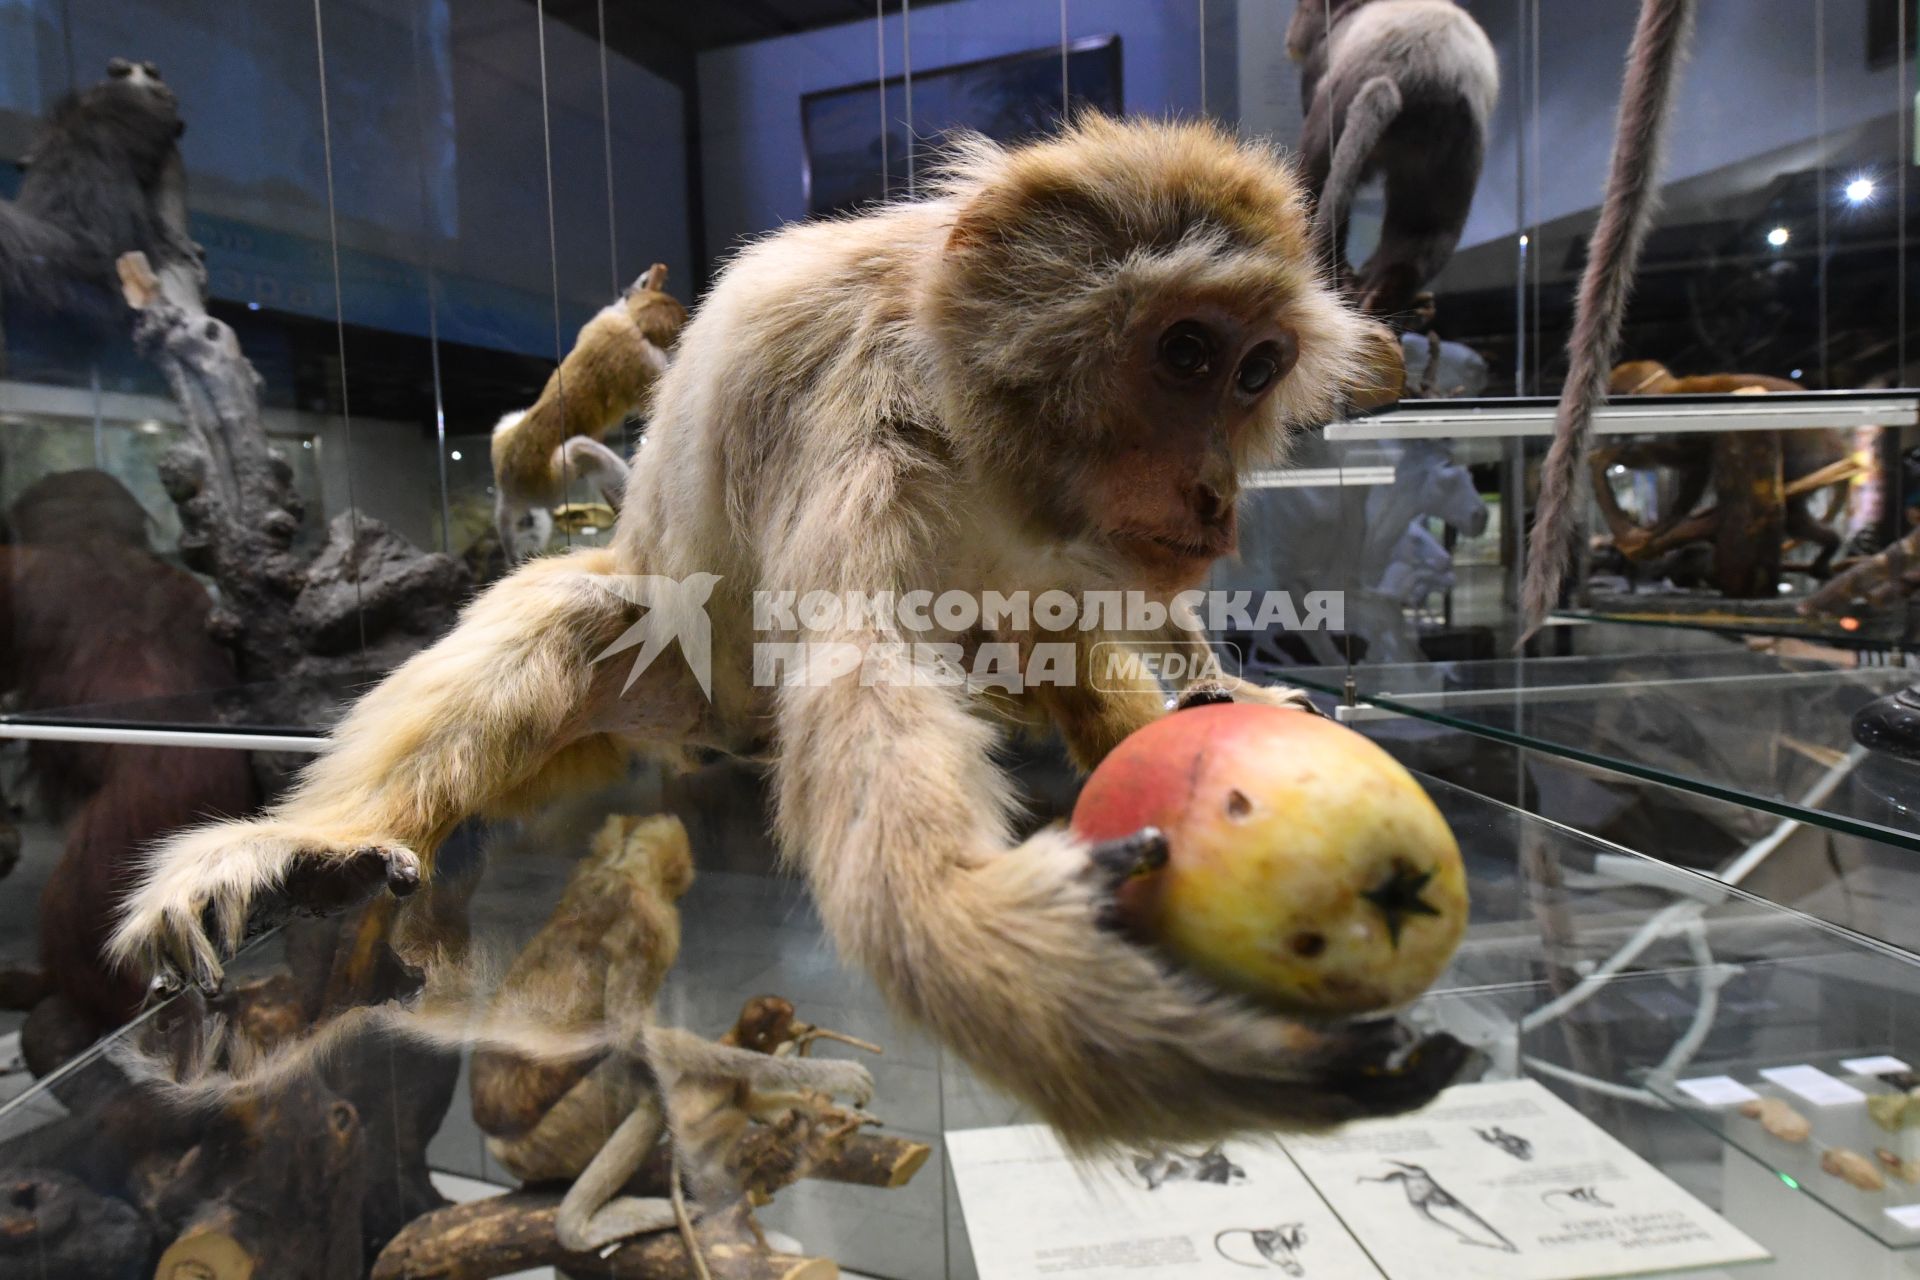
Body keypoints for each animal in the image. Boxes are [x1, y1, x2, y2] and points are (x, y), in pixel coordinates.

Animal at [491, 264, 687, 560]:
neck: (635, 324)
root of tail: (506, 486)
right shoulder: (644, 360)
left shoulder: (608, 316)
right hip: (548, 482)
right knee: (580, 451)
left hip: (504, 434)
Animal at [1290, 0, 1497, 320]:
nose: (1292, 33)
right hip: (1452, 152)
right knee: (1424, 233)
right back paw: (1379, 298)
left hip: (1334, 109)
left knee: (1314, 189)